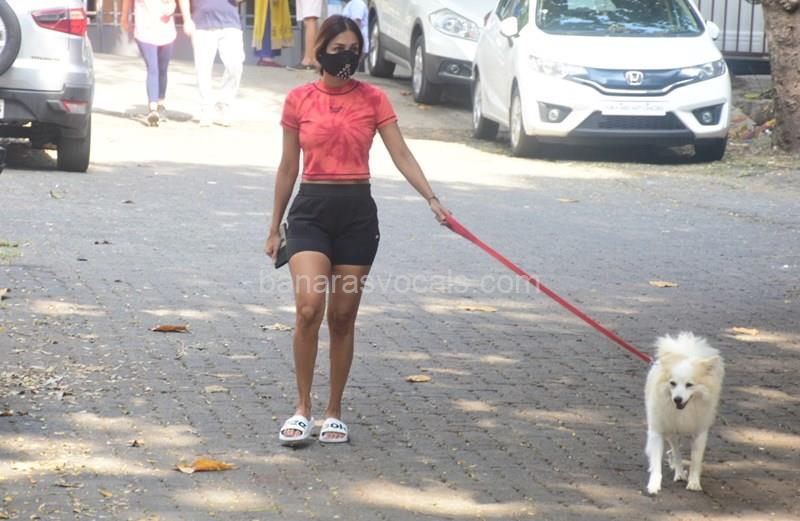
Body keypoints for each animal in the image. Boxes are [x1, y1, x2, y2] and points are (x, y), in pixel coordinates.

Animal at [645, 332, 724, 494]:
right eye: (672, 383)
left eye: (689, 385)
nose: (677, 399)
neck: (683, 412)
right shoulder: (657, 431)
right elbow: (656, 462)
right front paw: (654, 485)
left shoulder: (700, 434)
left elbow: (695, 461)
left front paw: (694, 483)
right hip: (672, 432)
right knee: (676, 451)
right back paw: (679, 472)